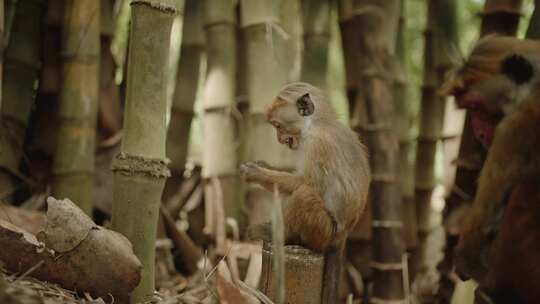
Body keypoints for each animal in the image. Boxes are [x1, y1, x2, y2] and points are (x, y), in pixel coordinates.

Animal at [240, 82, 372, 302]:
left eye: (278, 126)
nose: (279, 139)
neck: (315, 123)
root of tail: (342, 237)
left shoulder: (318, 144)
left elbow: (306, 184)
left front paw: (257, 173)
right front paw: (264, 166)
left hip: (323, 232)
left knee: (304, 195)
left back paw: (284, 235)